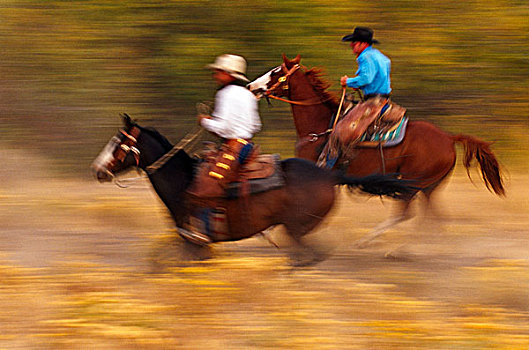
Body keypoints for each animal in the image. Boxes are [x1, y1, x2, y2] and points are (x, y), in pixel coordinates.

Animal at [91, 115, 412, 266]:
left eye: (118, 144)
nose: (98, 169)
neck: (182, 180)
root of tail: (329, 175)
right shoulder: (191, 242)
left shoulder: (193, 240)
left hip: (296, 228)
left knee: (310, 255)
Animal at [248, 54, 504, 246]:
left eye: (276, 71)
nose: (251, 86)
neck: (319, 126)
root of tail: (449, 138)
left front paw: (268, 233)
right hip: (429, 186)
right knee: (433, 217)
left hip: (414, 183)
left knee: (406, 213)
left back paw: (381, 245)